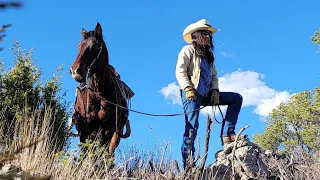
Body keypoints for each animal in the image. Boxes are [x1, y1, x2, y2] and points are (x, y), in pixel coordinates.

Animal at [69, 22, 134, 154]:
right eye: (78, 46)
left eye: (95, 45)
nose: (75, 71)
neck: (98, 94)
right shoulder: (84, 129)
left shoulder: (108, 129)